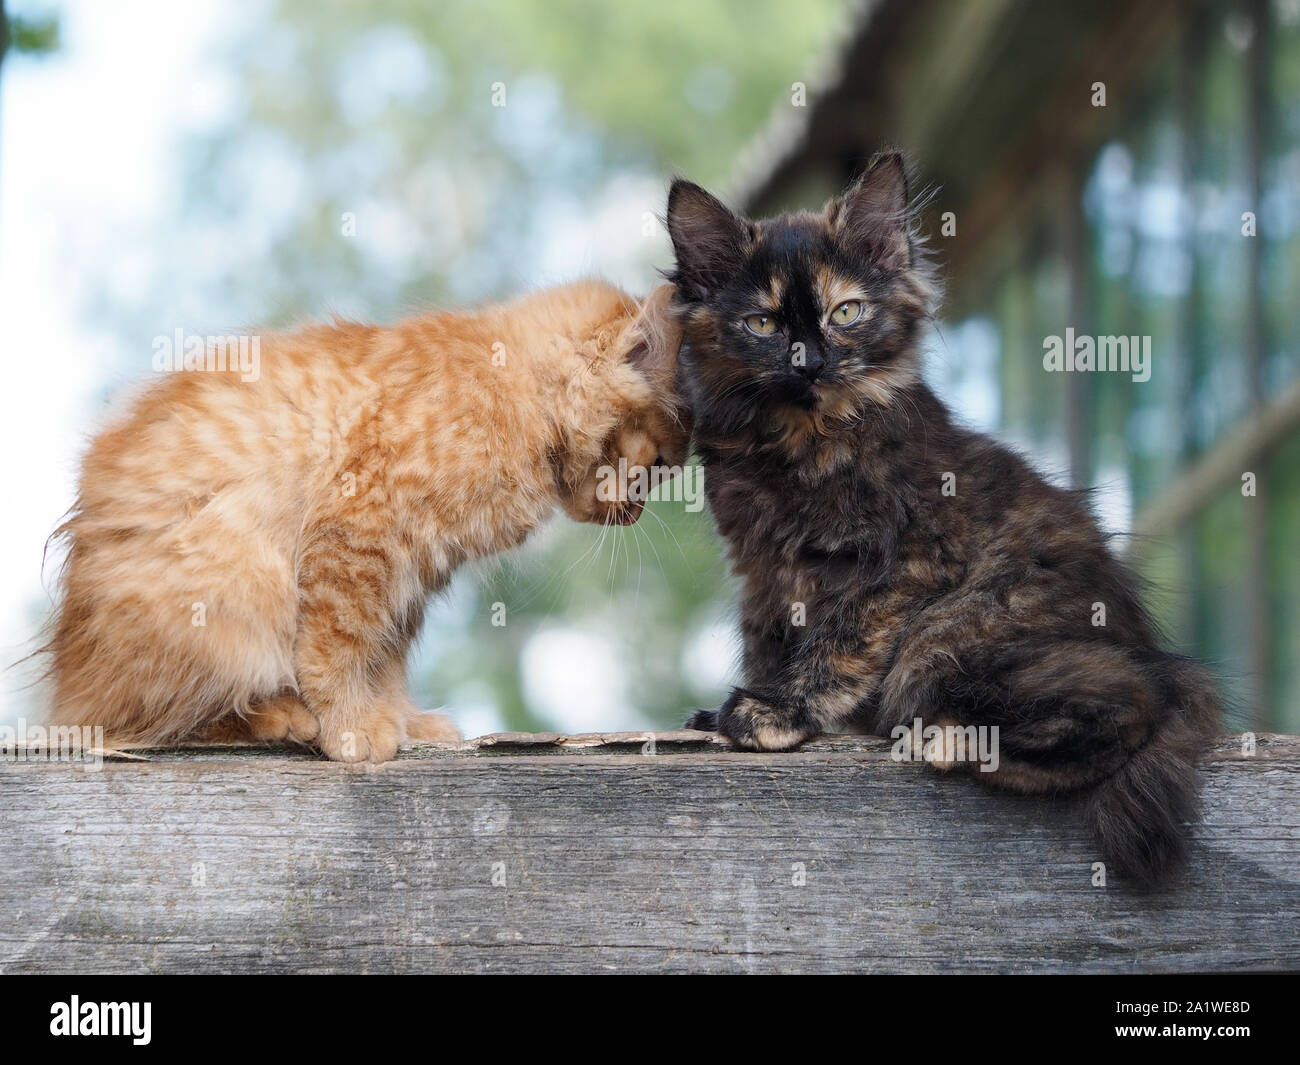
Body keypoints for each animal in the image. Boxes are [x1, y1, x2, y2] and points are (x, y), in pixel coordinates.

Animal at [41, 283, 691, 764]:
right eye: (660, 466)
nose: (635, 513)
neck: (514, 390)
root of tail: (69, 680)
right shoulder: (359, 538)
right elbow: (337, 652)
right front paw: (353, 728)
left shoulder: (412, 574)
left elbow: (385, 661)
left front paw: (402, 720)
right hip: (235, 592)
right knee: (144, 723)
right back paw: (280, 717)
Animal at [665, 150, 1222, 884]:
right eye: (762, 324)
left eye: (847, 311)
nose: (810, 362)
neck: (797, 440)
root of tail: (1159, 654)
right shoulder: (764, 570)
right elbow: (767, 640)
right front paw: (748, 705)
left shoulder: (902, 561)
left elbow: (838, 644)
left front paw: (781, 710)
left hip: (945, 642)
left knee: (1130, 703)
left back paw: (955, 739)